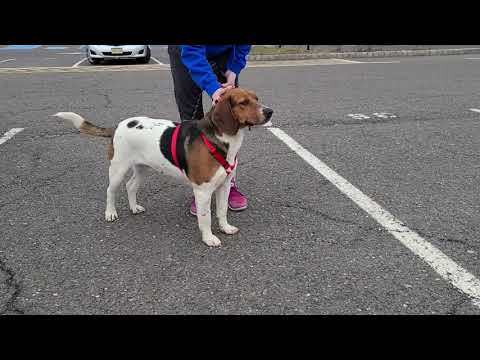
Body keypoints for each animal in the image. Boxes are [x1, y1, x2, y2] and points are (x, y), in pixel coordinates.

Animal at [54, 87, 272, 248]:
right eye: (243, 103)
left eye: (256, 98)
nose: (270, 112)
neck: (222, 139)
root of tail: (118, 126)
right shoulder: (202, 191)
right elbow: (205, 218)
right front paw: (209, 238)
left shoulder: (224, 185)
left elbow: (222, 210)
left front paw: (226, 228)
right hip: (118, 168)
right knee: (110, 190)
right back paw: (110, 213)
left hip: (142, 168)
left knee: (131, 186)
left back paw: (134, 208)